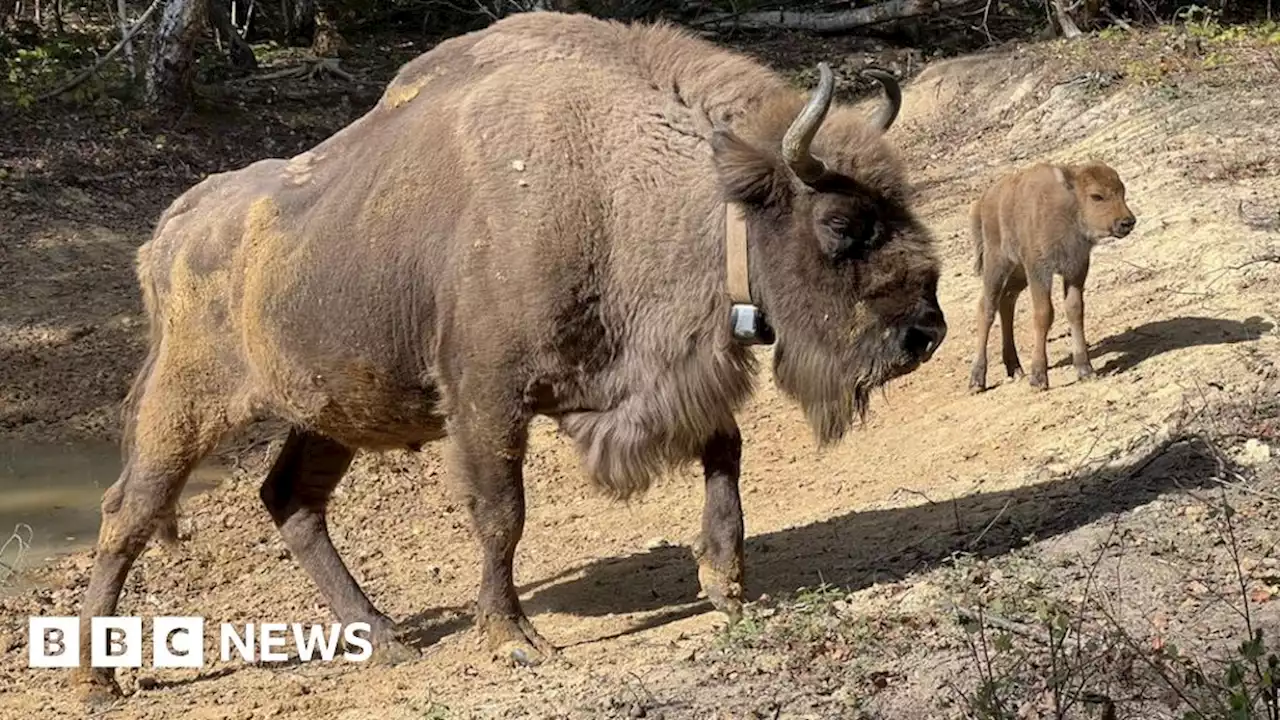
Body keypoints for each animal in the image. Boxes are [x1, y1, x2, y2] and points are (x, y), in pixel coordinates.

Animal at [74, 8, 947, 696]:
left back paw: (384, 640)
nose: (925, 334)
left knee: (290, 500)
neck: (621, 182)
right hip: (187, 407)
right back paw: (98, 681)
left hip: (329, 412)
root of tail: (170, 231)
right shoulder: (489, 401)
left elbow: (724, 450)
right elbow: (502, 515)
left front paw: (727, 586)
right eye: (843, 225)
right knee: (128, 512)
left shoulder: (652, 380)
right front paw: (514, 639)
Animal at [962, 161, 1136, 392]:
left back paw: (1015, 368)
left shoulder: (1076, 269)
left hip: (1019, 273)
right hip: (997, 264)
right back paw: (977, 380)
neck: (1071, 207)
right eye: (1096, 196)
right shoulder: (1039, 270)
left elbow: (1075, 310)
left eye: (1122, 192)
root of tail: (983, 201)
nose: (1127, 222)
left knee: (1006, 301)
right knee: (987, 308)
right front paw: (1038, 378)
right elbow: (1044, 314)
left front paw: (1085, 370)